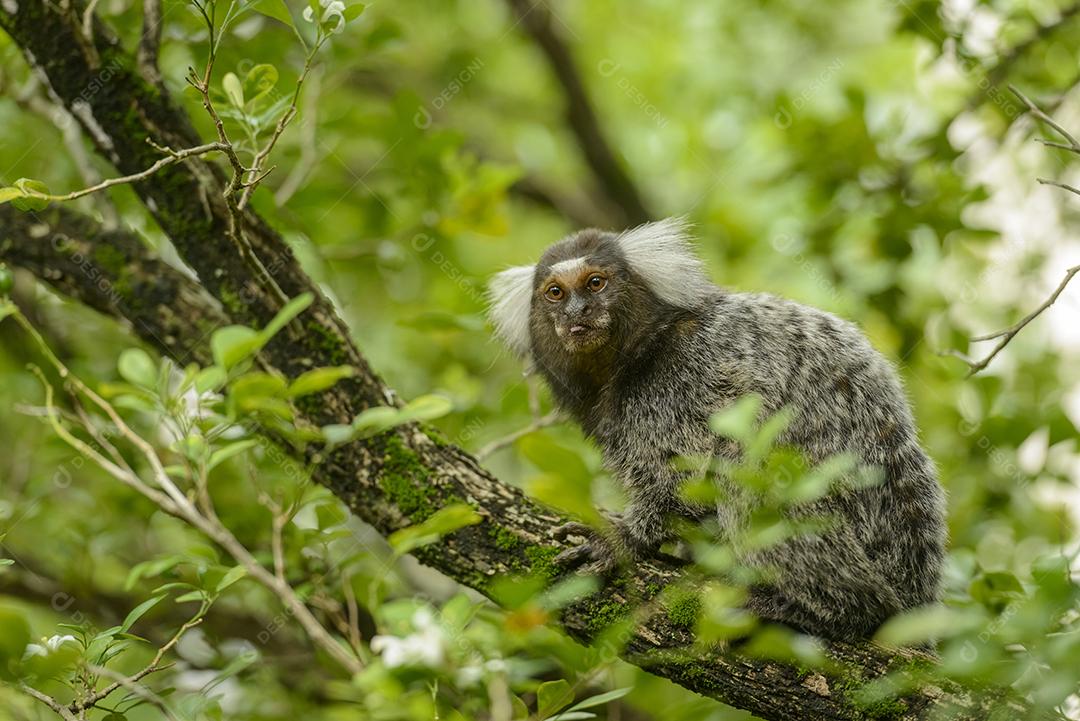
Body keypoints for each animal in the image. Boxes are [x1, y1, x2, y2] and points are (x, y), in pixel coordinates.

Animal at [486, 217, 947, 641]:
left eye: (595, 283)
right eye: (555, 293)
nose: (576, 313)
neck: (636, 353)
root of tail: (915, 591)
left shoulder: (686, 377)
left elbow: (689, 472)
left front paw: (626, 537)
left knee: (749, 474)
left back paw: (833, 611)